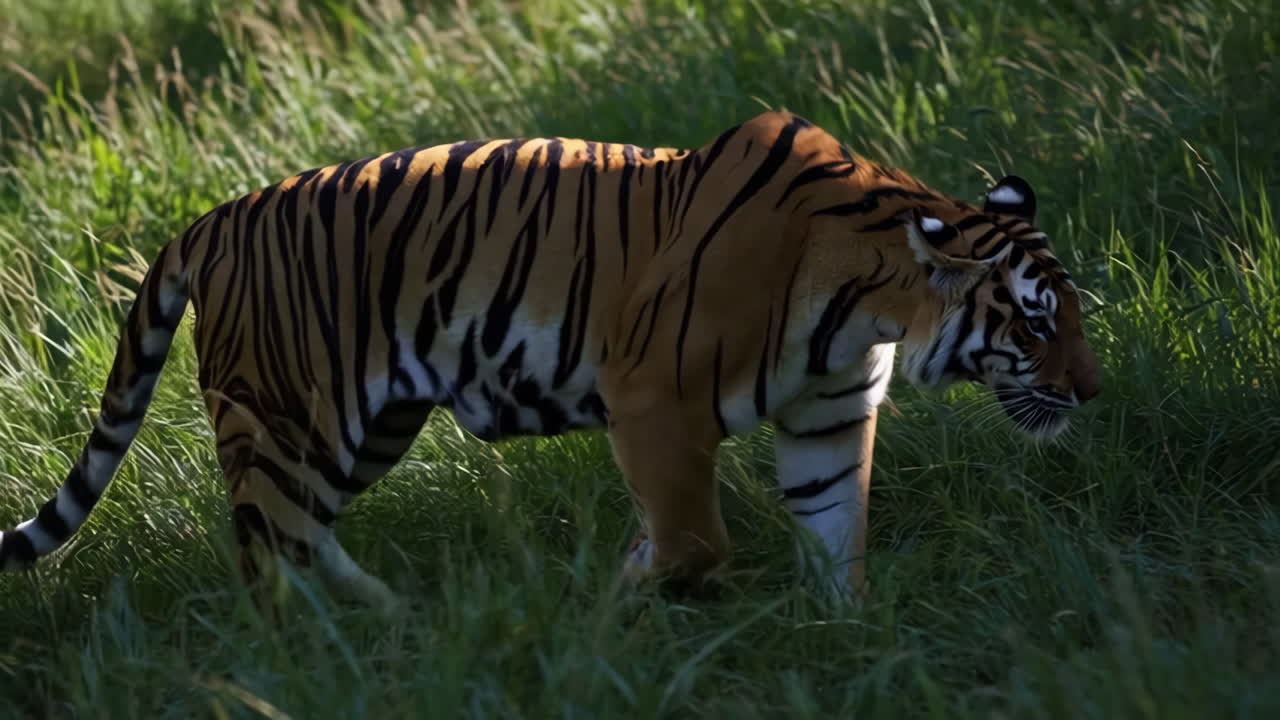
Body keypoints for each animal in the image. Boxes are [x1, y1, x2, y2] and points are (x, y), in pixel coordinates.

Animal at [0, 111, 1099, 612]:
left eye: (1074, 316)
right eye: (1035, 323)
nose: (1092, 390)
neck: (873, 299)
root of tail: (213, 218)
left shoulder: (827, 416)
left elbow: (837, 534)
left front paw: (851, 634)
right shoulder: (655, 400)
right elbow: (694, 540)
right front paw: (620, 595)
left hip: (362, 428)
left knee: (300, 536)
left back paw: (387, 620)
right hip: (289, 416)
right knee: (266, 555)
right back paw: (316, 650)